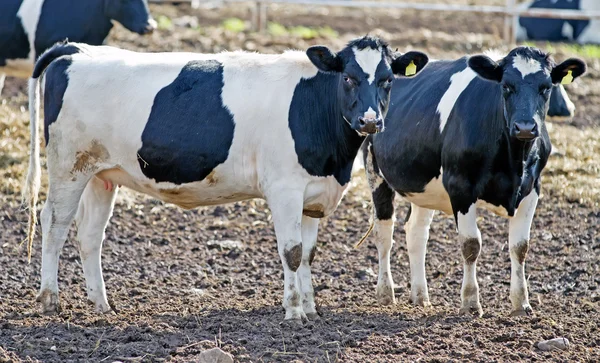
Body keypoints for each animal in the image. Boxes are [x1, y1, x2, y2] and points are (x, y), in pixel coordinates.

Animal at [22, 37, 426, 322]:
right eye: (348, 77)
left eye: (387, 81)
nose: (371, 121)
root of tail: (77, 49)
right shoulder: (284, 190)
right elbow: (292, 252)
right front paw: (294, 311)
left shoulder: (314, 195)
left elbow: (309, 254)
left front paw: (311, 308)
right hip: (68, 165)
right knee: (54, 223)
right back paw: (49, 299)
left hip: (101, 174)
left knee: (90, 235)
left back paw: (102, 304)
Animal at [358, 46, 584, 318]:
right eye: (506, 86)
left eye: (547, 87)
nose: (525, 127)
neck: (513, 161)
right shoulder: (461, 187)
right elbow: (471, 244)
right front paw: (470, 302)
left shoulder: (533, 188)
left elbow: (520, 246)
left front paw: (521, 303)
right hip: (375, 170)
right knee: (384, 232)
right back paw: (385, 293)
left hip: (423, 186)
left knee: (416, 232)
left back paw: (421, 296)